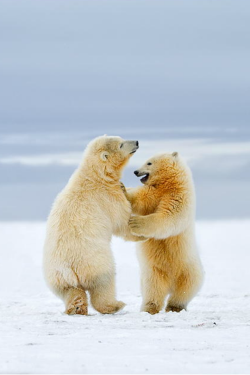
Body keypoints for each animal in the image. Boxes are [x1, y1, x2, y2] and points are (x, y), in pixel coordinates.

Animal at [43, 135, 145, 314]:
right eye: (121, 144)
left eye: (121, 139)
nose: (137, 142)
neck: (96, 176)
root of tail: (68, 268)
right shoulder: (108, 197)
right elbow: (122, 223)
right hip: (94, 261)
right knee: (104, 282)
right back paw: (115, 305)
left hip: (56, 277)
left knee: (71, 290)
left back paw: (76, 308)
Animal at [126, 153, 204, 314]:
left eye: (149, 162)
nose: (135, 171)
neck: (168, 184)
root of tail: (170, 284)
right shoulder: (154, 192)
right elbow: (141, 199)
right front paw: (123, 188)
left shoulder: (179, 195)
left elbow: (169, 216)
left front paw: (136, 223)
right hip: (153, 271)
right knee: (153, 288)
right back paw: (149, 308)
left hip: (189, 269)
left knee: (185, 289)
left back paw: (174, 306)